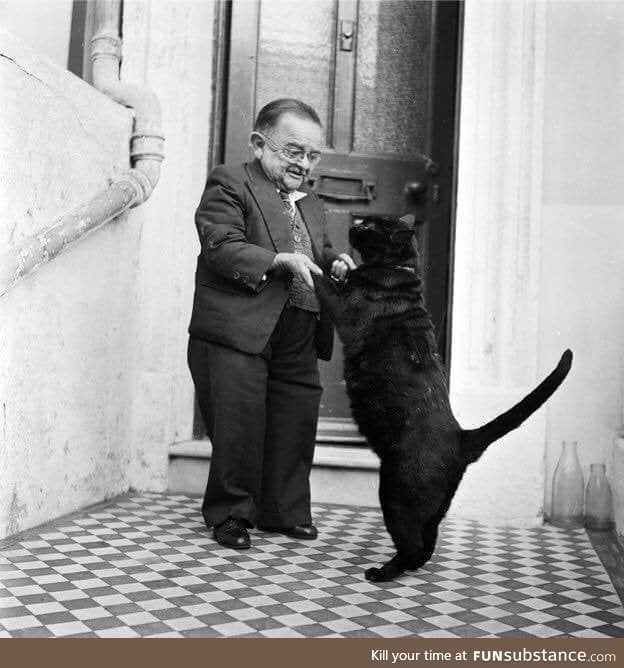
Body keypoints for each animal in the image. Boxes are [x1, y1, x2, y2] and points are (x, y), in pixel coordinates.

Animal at [314, 214, 572, 580]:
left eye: (370, 227)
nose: (355, 224)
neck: (398, 269)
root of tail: (461, 437)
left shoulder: (342, 306)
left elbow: (317, 277)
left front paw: (298, 258)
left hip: (394, 493)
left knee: (412, 546)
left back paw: (381, 573)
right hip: (431, 507)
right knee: (427, 544)